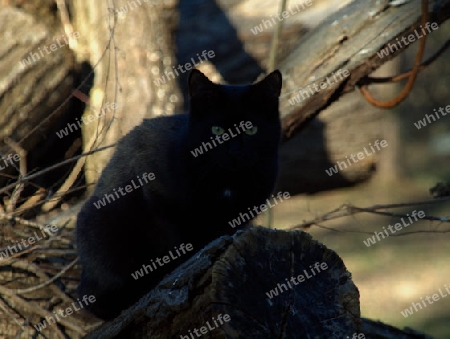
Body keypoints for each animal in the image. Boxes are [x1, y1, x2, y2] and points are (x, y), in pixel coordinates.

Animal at [76, 69, 284, 322]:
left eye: (251, 129)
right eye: (216, 130)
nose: (234, 152)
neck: (226, 182)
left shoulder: (242, 214)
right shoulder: (160, 198)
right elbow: (180, 242)